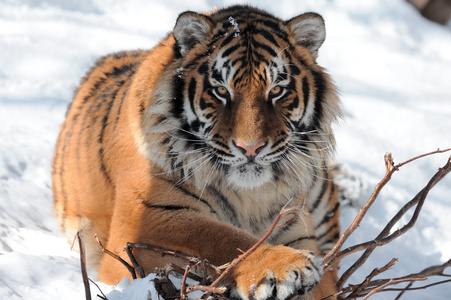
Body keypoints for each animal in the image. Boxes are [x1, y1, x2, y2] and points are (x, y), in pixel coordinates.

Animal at [52, 4, 342, 300]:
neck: (249, 197)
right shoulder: (144, 224)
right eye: (221, 91)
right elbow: (223, 237)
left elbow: (326, 284)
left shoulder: (297, 227)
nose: (251, 148)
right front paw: (288, 266)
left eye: (277, 91)